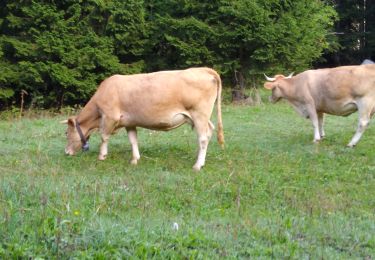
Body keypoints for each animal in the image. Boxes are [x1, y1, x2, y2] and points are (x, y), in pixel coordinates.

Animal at [63, 67, 225, 171]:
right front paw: (135, 160)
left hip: (199, 114)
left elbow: (103, 136)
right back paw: (201, 162)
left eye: (66, 133)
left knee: (202, 138)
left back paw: (197, 165)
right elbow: (133, 140)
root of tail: (203, 69)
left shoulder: (110, 116)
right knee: (209, 131)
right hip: (202, 117)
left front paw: (102, 156)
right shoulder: (129, 122)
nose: (66, 153)